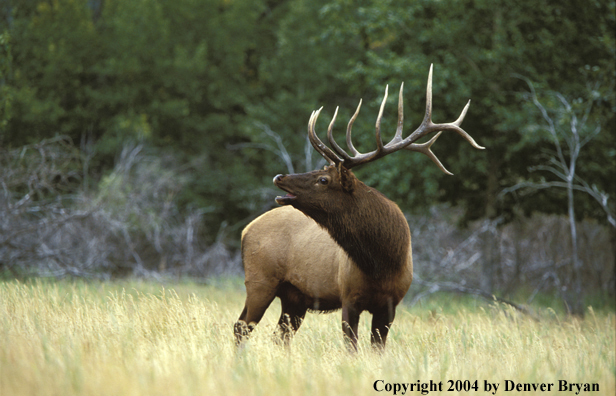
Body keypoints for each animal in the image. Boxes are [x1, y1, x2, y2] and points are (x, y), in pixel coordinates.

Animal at [233, 65, 484, 350]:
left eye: (323, 178)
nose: (279, 177)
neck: (381, 263)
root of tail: (246, 230)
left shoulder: (390, 305)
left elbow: (377, 348)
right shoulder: (349, 297)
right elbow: (351, 347)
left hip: (294, 297)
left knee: (279, 335)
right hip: (259, 280)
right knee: (242, 327)